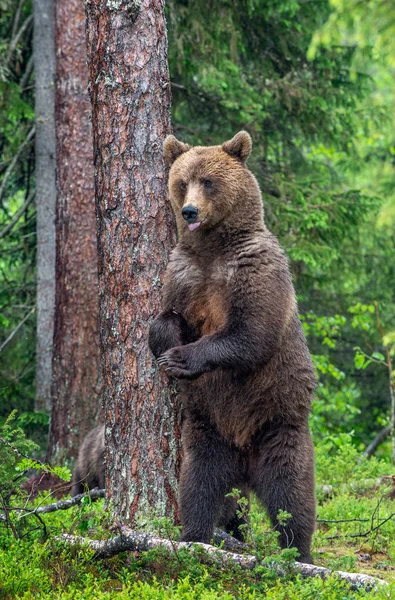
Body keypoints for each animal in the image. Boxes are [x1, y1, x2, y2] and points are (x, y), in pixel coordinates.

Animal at [149, 130, 318, 564]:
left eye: (208, 181)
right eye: (182, 181)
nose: (190, 211)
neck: (213, 249)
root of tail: (244, 465)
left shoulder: (255, 269)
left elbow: (250, 333)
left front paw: (182, 358)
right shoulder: (184, 275)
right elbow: (165, 317)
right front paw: (167, 344)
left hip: (277, 426)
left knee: (291, 494)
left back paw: (299, 554)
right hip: (210, 435)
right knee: (199, 486)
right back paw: (194, 536)